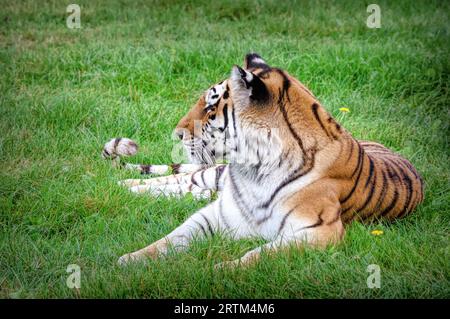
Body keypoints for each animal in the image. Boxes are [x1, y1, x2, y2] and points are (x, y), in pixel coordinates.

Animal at [107, 53, 424, 268]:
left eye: (210, 108)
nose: (178, 133)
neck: (256, 170)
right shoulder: (219, 213)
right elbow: (172, 238)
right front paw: (129, 259)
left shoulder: (320, 232)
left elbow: (258, 255)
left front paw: (221, 269)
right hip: (214, 174)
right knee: (178, 178)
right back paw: (125, 186)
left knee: (189, 187)